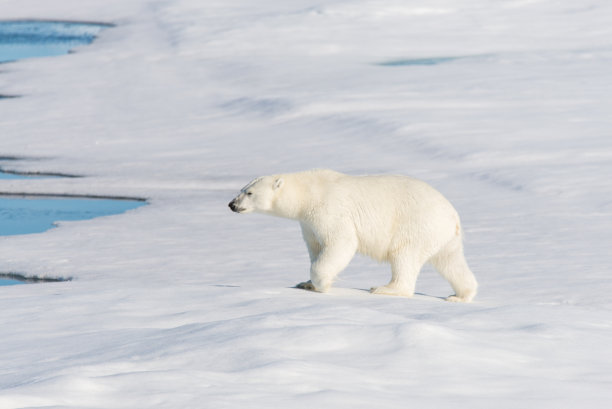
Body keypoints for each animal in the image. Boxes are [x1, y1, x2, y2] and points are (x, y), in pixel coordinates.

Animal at [230, 168, 478, 300]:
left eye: (249, 193)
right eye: (241, 189)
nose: (232, 204)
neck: (309, 192)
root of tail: (453, 216)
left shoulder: (329, 209)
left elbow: (340, 243)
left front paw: (322, 284)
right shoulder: (308, 223)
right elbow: (315, 247)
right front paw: (306, 283)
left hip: (416, 224)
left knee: (404, 255)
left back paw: (385, 288)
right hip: (442, 236)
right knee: (450, 262)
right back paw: (460, 295)